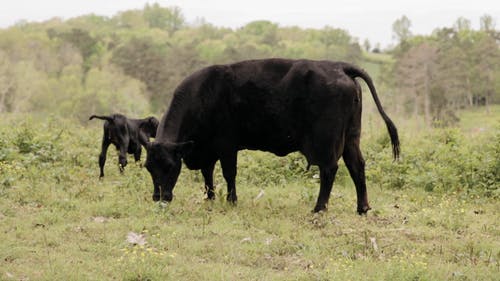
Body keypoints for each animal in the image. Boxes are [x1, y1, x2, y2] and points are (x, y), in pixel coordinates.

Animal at [145, 58, 398, 213]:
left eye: (170, 166)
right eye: (149, 167)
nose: (159, 197)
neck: (203, 93)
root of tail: (338, 66)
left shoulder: (227, 145)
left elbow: (229, 173)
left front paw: (231, 201)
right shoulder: (207, 149)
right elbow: (208, 174)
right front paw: (210, 197)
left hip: (327, 141)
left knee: (329, 169)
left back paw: (319, 208)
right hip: (352, 137)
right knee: (357, 165)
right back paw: (362, 208)